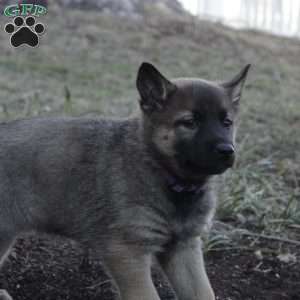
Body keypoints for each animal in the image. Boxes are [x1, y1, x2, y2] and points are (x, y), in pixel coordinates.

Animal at [0, 62, 250, 298]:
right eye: (189, 122)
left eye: (227, 122)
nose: (227, 151)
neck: (165, 174)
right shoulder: (127, 252)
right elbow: (147, 295)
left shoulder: (183, 248)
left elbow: (204, 292)